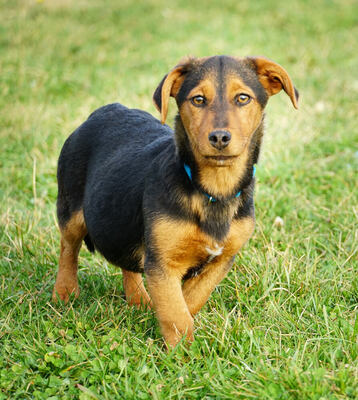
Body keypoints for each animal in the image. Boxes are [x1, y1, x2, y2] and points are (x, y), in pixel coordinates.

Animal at [52, 55, 300, 346]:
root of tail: (104, 110)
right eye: (198, 100)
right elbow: (175, 312)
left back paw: (139, 301)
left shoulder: (222, 259)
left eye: (242, 98)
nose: (219, 138)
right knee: (68, 250)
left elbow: (190, 300)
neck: (213, 190)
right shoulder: (163, 263)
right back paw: (64, 294)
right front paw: (183, 351)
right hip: (70, 208)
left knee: (126, 261)